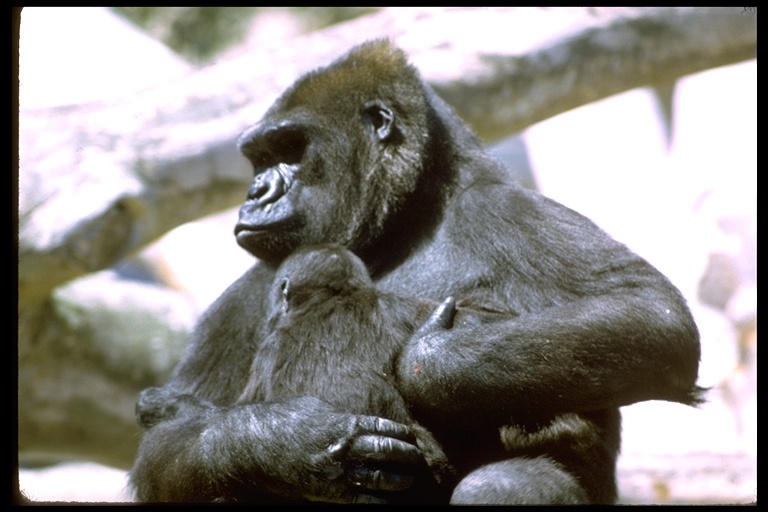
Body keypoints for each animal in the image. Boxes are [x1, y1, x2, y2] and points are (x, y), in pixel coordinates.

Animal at [129, 40, 704, 504]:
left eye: (290, 149)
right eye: (259, 158)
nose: (255, 193)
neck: (404, 222)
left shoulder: (505, 206)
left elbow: (649, 315)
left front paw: (429, 359)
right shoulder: (243, 296)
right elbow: (166, 441)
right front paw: (285, 441)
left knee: (501, 486)